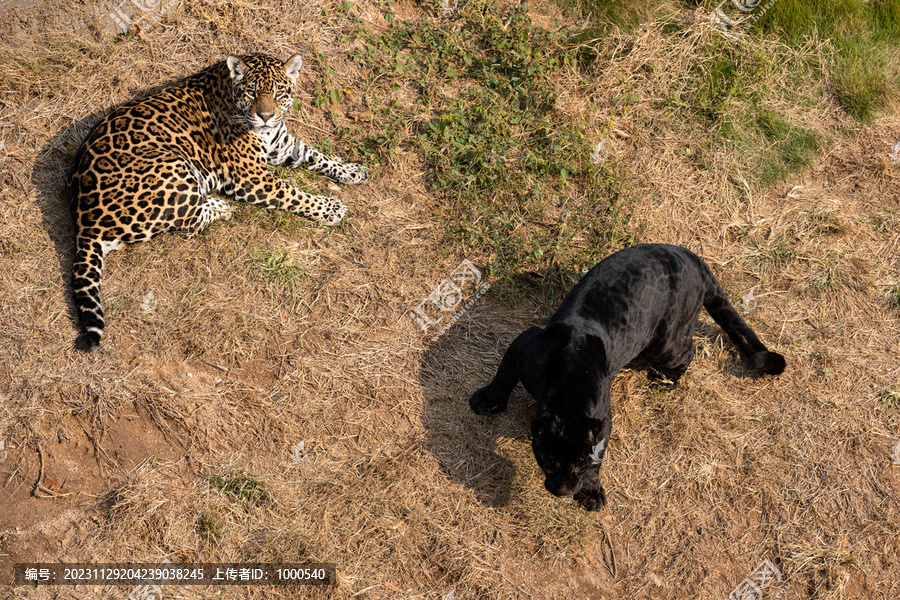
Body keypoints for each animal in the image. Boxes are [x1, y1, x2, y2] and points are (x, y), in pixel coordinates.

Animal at [68, 55, 368, 352]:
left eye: (279, 93)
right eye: (251, 93)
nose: (266, 116)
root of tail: (84, 220)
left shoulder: (284, 147)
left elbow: (317, 155)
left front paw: (352, 171)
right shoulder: (252, 178)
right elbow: (294, 193)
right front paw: (331, 208)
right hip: (173, 165)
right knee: (188, 222)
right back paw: (220, 207)